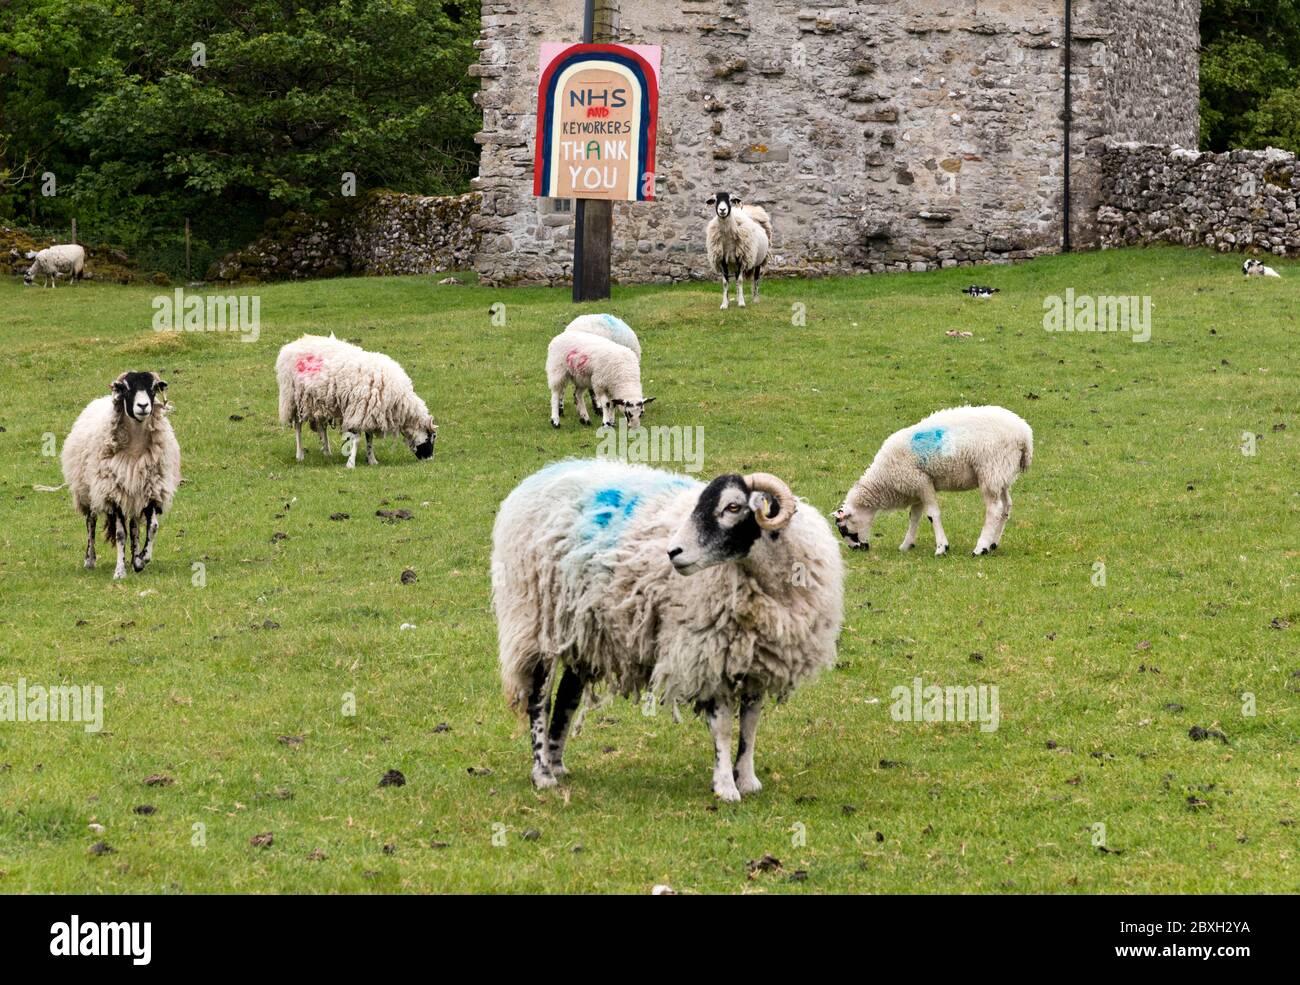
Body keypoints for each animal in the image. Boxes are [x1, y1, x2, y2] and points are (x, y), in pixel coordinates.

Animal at [60, 374, 180, 582]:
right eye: (125, 388)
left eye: (153, 388)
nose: (143, 406)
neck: (135, 450)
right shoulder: (112, 494)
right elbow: (120, 534)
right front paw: (119, 571)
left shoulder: (151, 490)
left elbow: (152, 527)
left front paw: (141, 559)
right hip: (88, 491)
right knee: (91, 522)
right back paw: (90, 559)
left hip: (132, 495)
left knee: (134, 526)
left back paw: (134, 557)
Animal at [274, 332, 436, 467]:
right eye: (431, 437)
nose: (430, 459)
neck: (399, 401)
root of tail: (294, 343)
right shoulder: (359, 409)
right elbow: (357, 439)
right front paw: (351, 463)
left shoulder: (369, 412)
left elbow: (369, 438)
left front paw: (372, 460)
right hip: (293, 399)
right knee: (298, 426)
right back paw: (300, 454)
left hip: (319, 402)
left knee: (322, 426)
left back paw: (327, 451)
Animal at [488, 462, 842, 800]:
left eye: (733, 506)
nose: (673, 552)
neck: (768, 582)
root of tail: (536, 480)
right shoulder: (706, 653)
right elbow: (723, 727)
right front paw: (726, 787)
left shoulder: (758, 660)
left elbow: (750, 724)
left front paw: (747, 779)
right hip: (537, 621)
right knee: (539, 698)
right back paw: (542, 773)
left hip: (583, 628)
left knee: (567, 695)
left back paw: (557, 763)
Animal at [832, 402, 1034, 556]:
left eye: (843, 529)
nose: (858, 549)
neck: (882, 480)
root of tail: (1025, 435)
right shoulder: (916, 487)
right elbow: (914, 516)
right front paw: (906, 545)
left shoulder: (921, 482)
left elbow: (932, 514)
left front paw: (941, 548)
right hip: (1002, 474)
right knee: (1006, 506)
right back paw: (993, 544)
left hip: (990, 469)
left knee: (994, 510)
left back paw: (980, 548)